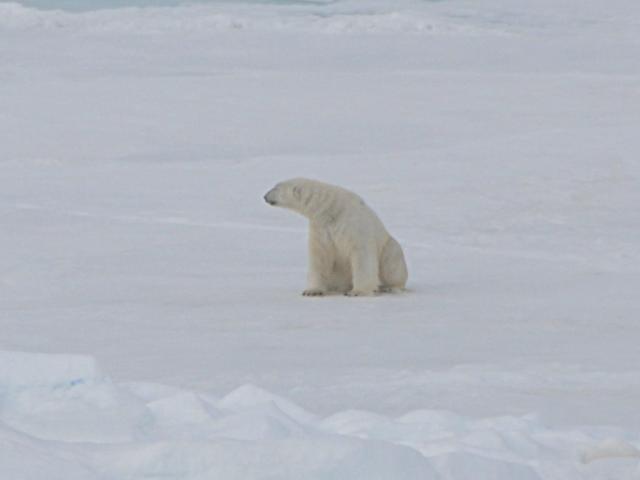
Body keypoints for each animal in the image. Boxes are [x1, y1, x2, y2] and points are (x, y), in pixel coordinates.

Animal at [262, 177, 408, 296]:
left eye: (276, 187)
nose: (264, 196)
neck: (331, 208)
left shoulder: (353, 224)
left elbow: (361, 254)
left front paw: (357, 291)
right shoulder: (320, 226)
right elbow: (320, 255)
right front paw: (312, 291)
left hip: (388, 247)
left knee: (392, 260)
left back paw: (389, 287)